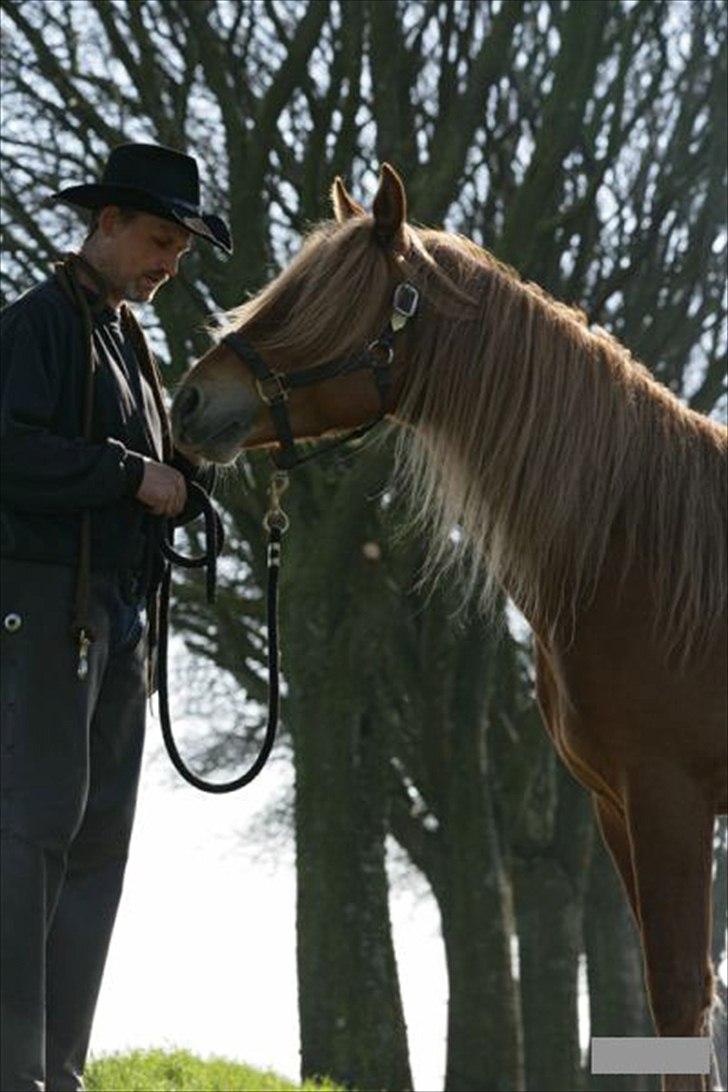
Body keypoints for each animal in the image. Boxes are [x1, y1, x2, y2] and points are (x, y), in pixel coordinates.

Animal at [172, 161, 728, 1092]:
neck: (645, 550)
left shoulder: (670, 797)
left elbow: (681, 998)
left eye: (311, 300)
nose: (187, 401)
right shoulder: (615, 805)